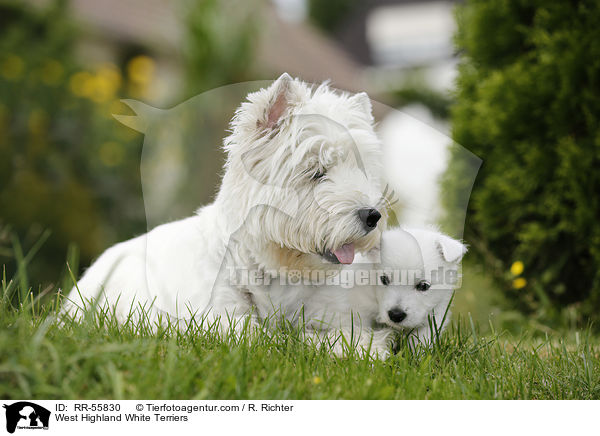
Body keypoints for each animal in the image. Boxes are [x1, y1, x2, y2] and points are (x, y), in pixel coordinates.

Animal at [251, 228, 466, 358]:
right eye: (384, 279)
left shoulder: (435, 313)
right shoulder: (354, 313)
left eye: (423, 286)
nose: (396, 315)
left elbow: (423, 337)